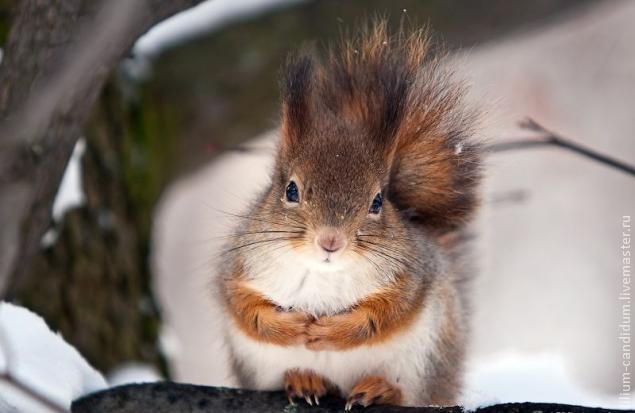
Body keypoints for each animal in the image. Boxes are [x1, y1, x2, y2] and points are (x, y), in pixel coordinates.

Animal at [217, 20, 482, 408]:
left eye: (377, 202)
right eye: (291, 190)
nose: (331, 242)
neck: (323, 274)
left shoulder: (414, 273)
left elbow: (389, 312)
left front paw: (336, 331)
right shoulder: (238, 266)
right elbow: (243, 306)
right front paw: (290, 327)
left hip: (427, 360)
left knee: (409, 393)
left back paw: (381, 389)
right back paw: (303, 380)